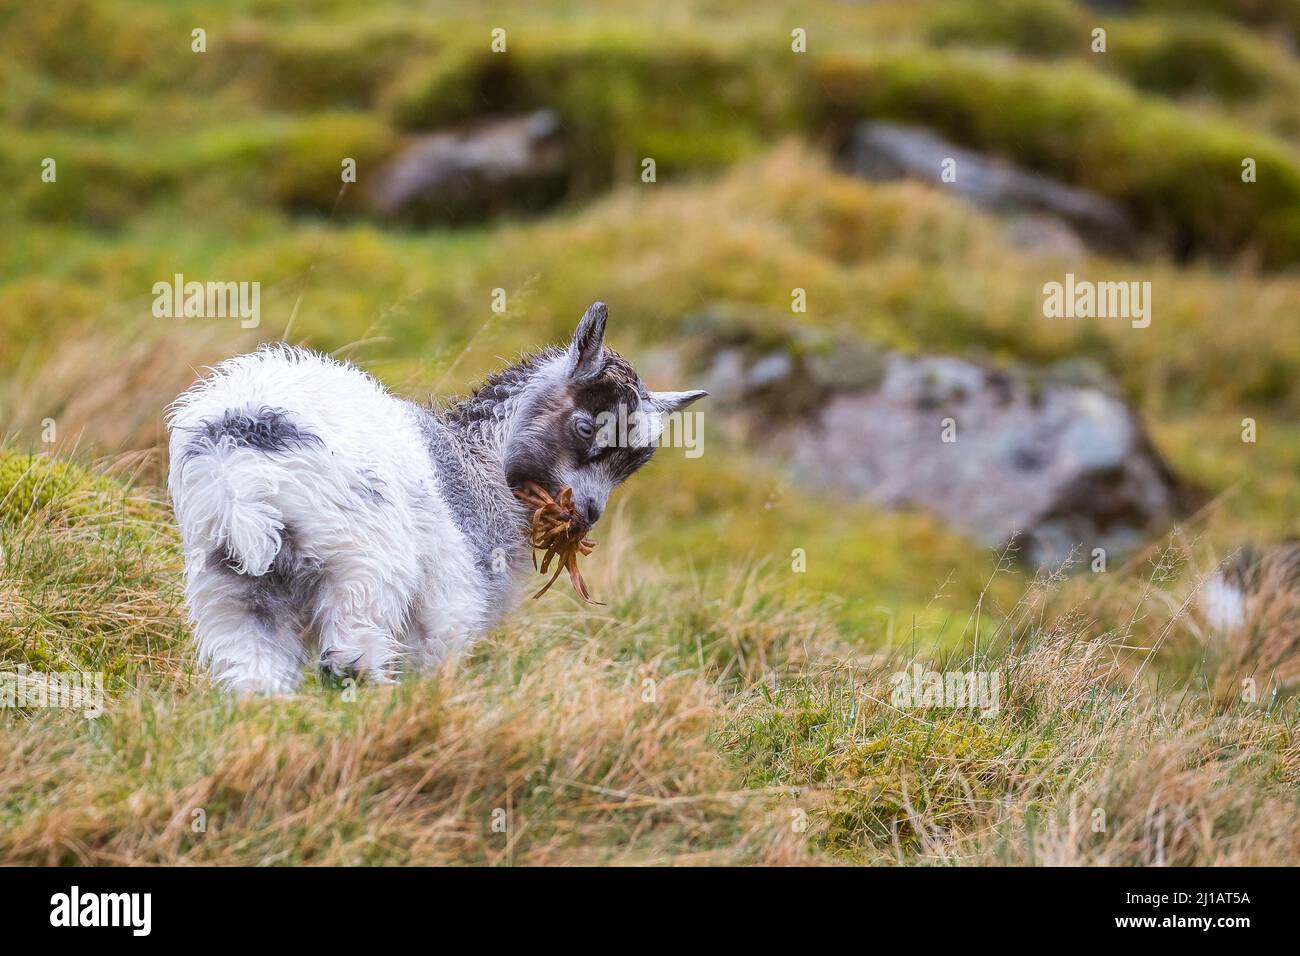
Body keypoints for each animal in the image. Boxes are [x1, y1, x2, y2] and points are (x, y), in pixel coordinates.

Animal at [171, 303, 707, 691]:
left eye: (632, 466)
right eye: (584, 427)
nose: (588, 515)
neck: (476, 459)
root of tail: (239, 472)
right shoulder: (449, 602)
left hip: (230, 582)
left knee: (253, 672)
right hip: (364, 567)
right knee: (349, 660)